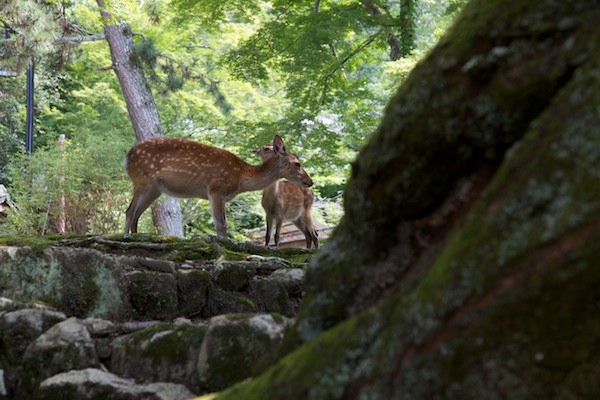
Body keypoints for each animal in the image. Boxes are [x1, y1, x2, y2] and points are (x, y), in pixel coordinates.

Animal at [124, 134, 312, 238]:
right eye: (297, 164)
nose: (310, 181)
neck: (241, 177)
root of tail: (127, 156)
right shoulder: (216, 189)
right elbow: (221, 224)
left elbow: (222, 223)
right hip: (143, 179)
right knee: (130, 211)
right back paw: (126, 237)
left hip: (155, 189)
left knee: (136, 214)